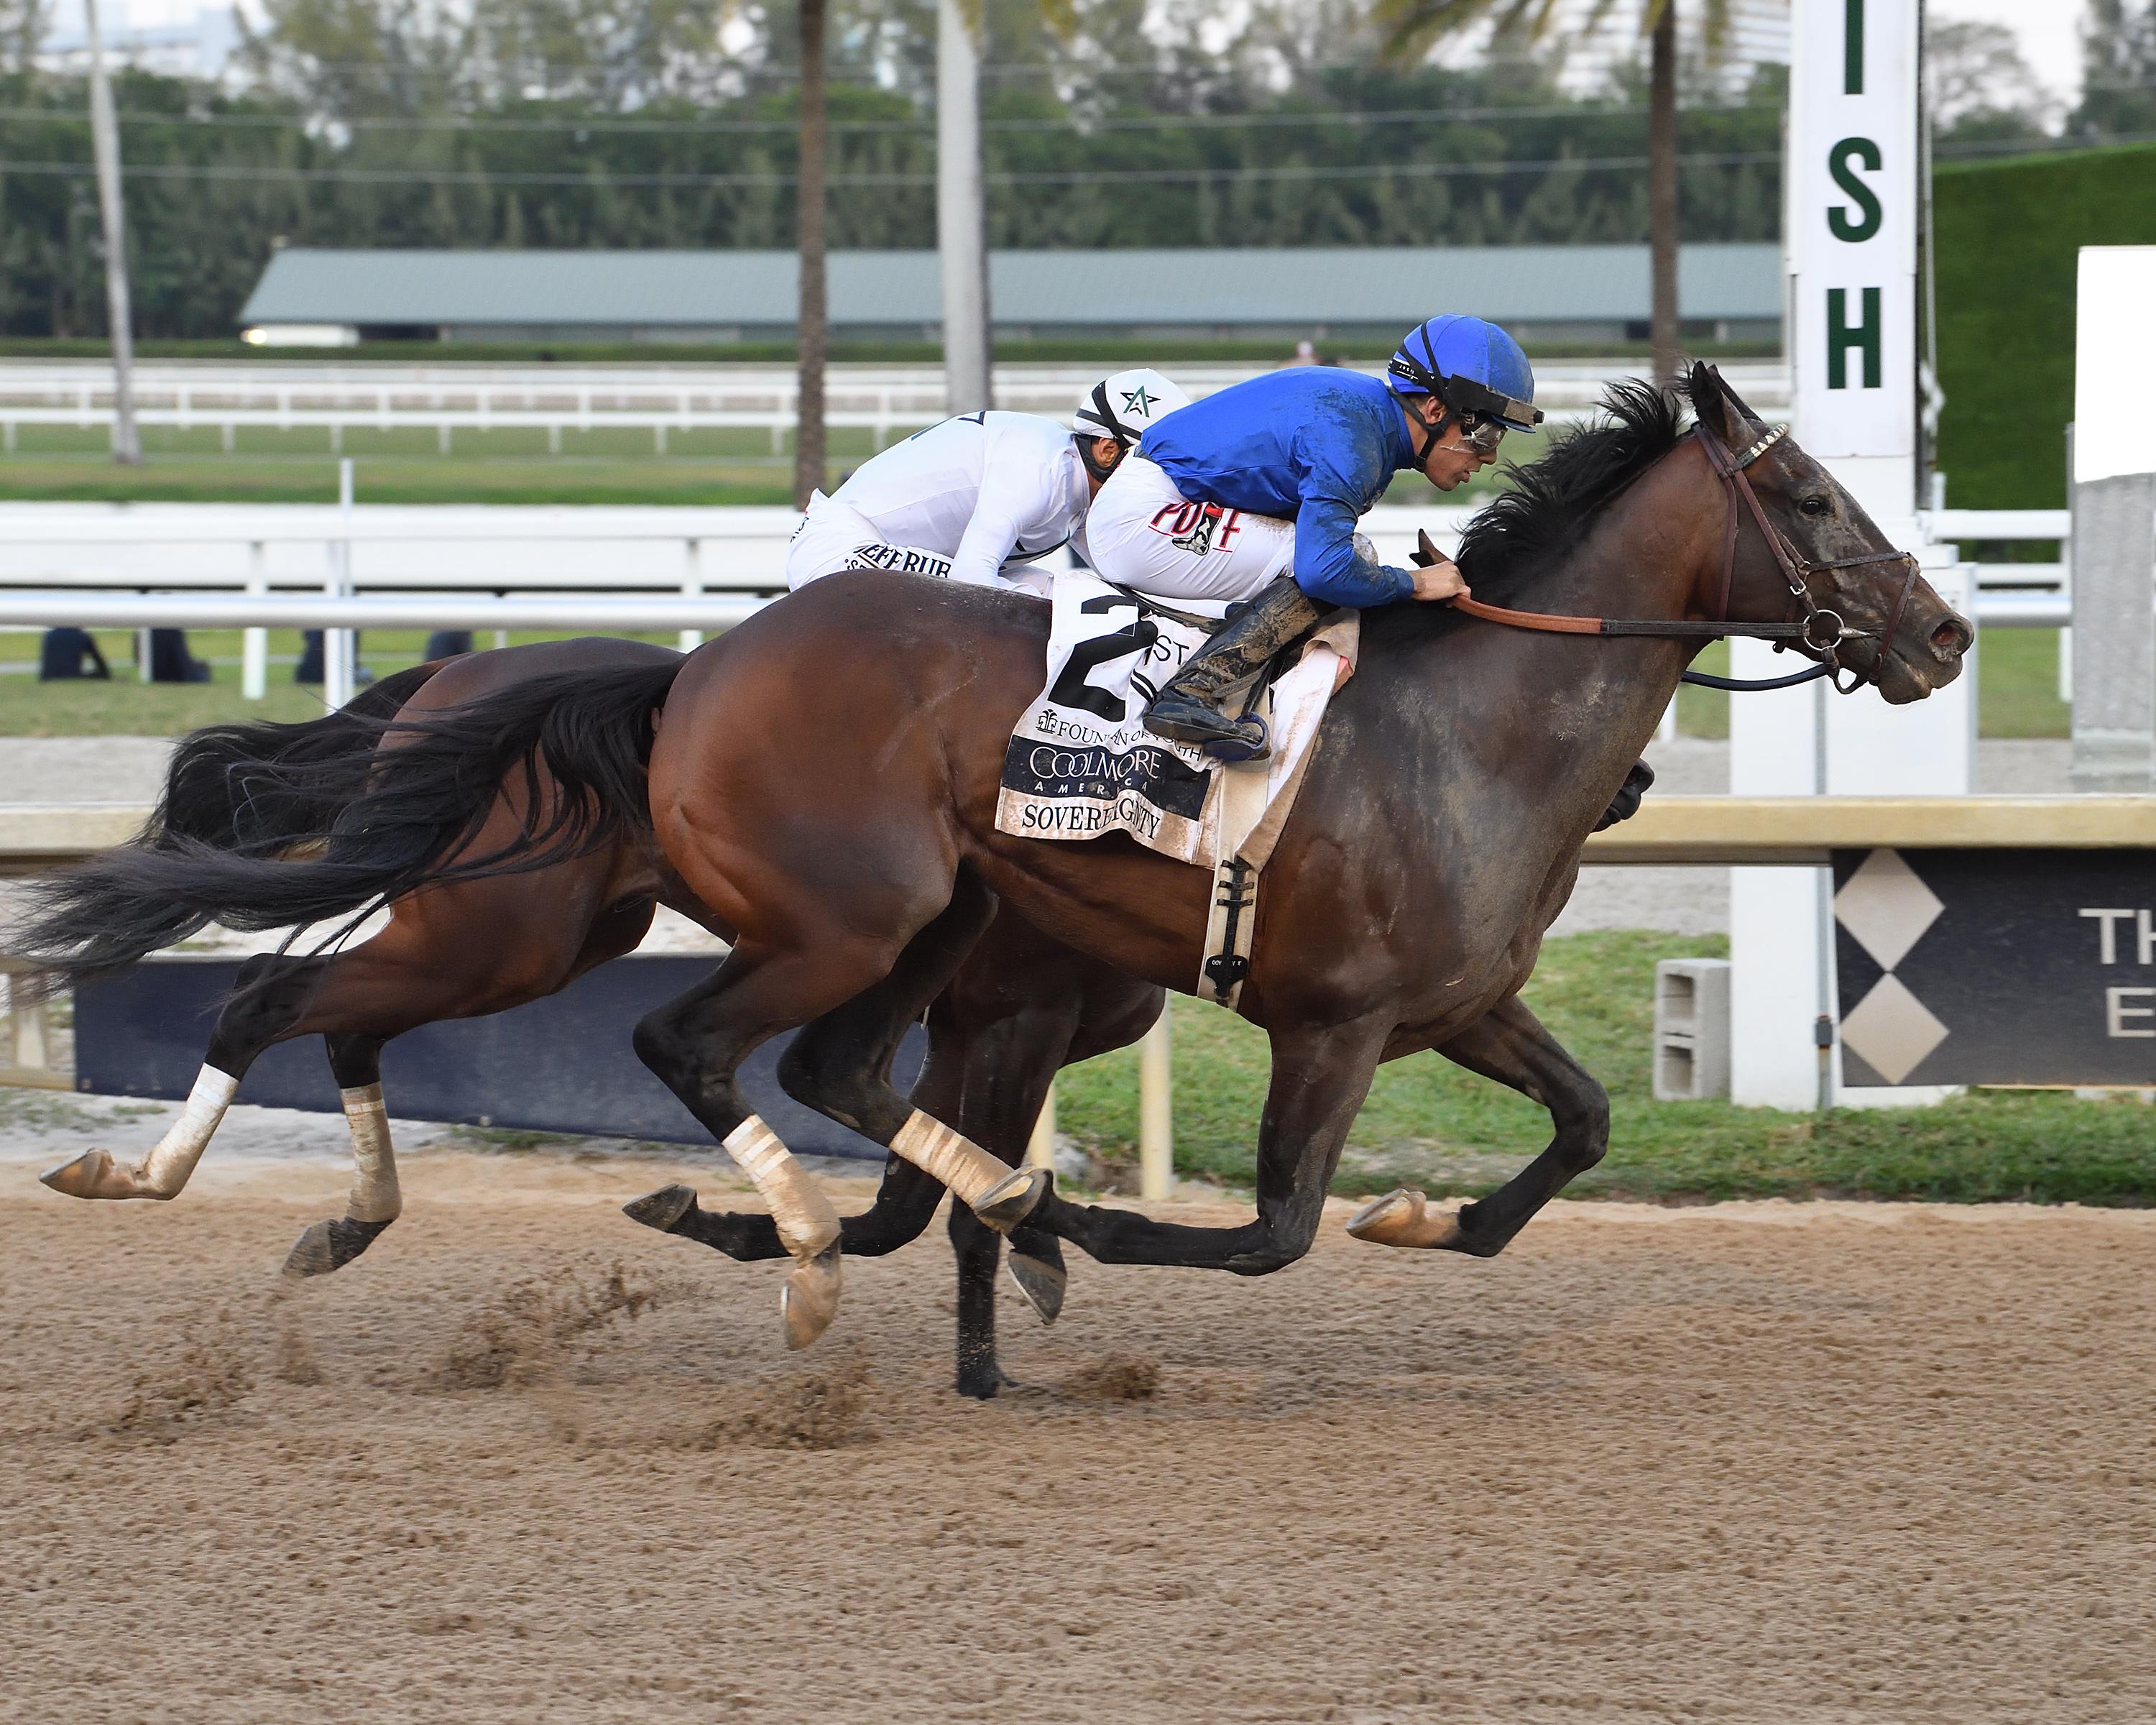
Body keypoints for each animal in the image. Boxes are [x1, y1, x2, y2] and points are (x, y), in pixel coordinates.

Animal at [19, 638, 1163, 1397]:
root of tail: (446, 680)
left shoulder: (973, 1026)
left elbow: (921, 1194)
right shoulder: (1013, 1017)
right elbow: (946, 1206)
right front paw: (993, 1337)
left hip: (528, 942)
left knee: (344, 1026)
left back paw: (345, 1218)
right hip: (498, 934)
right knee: (272, 998)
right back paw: (147, 1173)